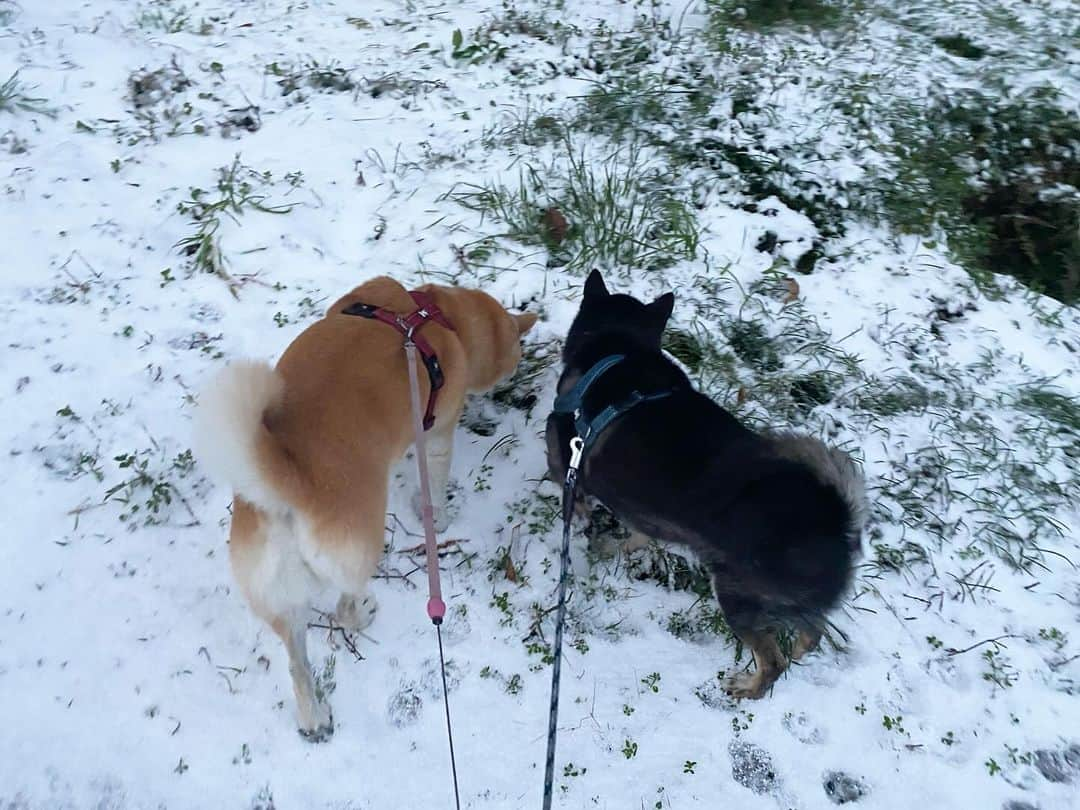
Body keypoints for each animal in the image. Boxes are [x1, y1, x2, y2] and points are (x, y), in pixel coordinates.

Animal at [193, 278, 535, 743]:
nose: (517, 371)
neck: (436, 312)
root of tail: (289, 482)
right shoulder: (438, 435)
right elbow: (435, 482)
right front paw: (438, 515)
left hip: (275, 594)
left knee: (297, 662)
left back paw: (314, 717)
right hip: (358, 551)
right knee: (344, 608)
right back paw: (363, 612)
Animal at [544, 271, 864, 699]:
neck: (622, 347)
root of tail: (838, 521)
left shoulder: (567, 460)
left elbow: (574, 497)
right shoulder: (645, 509)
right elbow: (639, 535)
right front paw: (613, 547)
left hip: (736, 595)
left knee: (773, 661)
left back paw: (747, 687)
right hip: (788, 602)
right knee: (813, 634)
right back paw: (798, 652)